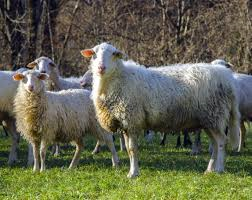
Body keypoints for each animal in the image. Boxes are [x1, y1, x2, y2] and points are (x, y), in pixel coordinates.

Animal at [80, 42, 240, 178]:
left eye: (113, 54)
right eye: (94, 54)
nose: (101, 68)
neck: (118, 79)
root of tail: (227, 78)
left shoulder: (132, 120)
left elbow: (132, 149)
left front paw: (133, 174)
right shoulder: (124, 123)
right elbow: (128, 150)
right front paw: (132, 171)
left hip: (215, 114)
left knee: (221, 142)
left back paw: (219, 169)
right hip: (209, 119)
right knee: (215, 143)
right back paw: (209, 169)